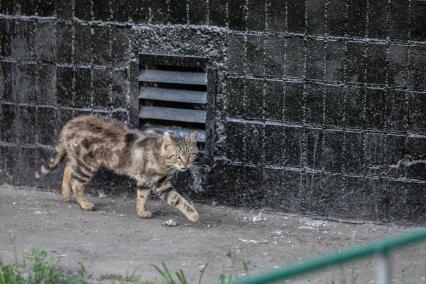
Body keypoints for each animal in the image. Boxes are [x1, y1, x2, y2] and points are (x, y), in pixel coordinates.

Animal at [35, 115, 200, 222]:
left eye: (191, 155)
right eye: (177, 156)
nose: (186, 165)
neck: (161, 156)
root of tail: (70, 123)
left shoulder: (144, 180)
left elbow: (141, 196)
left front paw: (141, 212)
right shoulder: (161, 184)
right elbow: (178, 199)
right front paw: (193, 214)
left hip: (79, 160)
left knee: (68, 168)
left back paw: (65, 193)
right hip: (88, 164)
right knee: (76, 183)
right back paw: (84, 203)